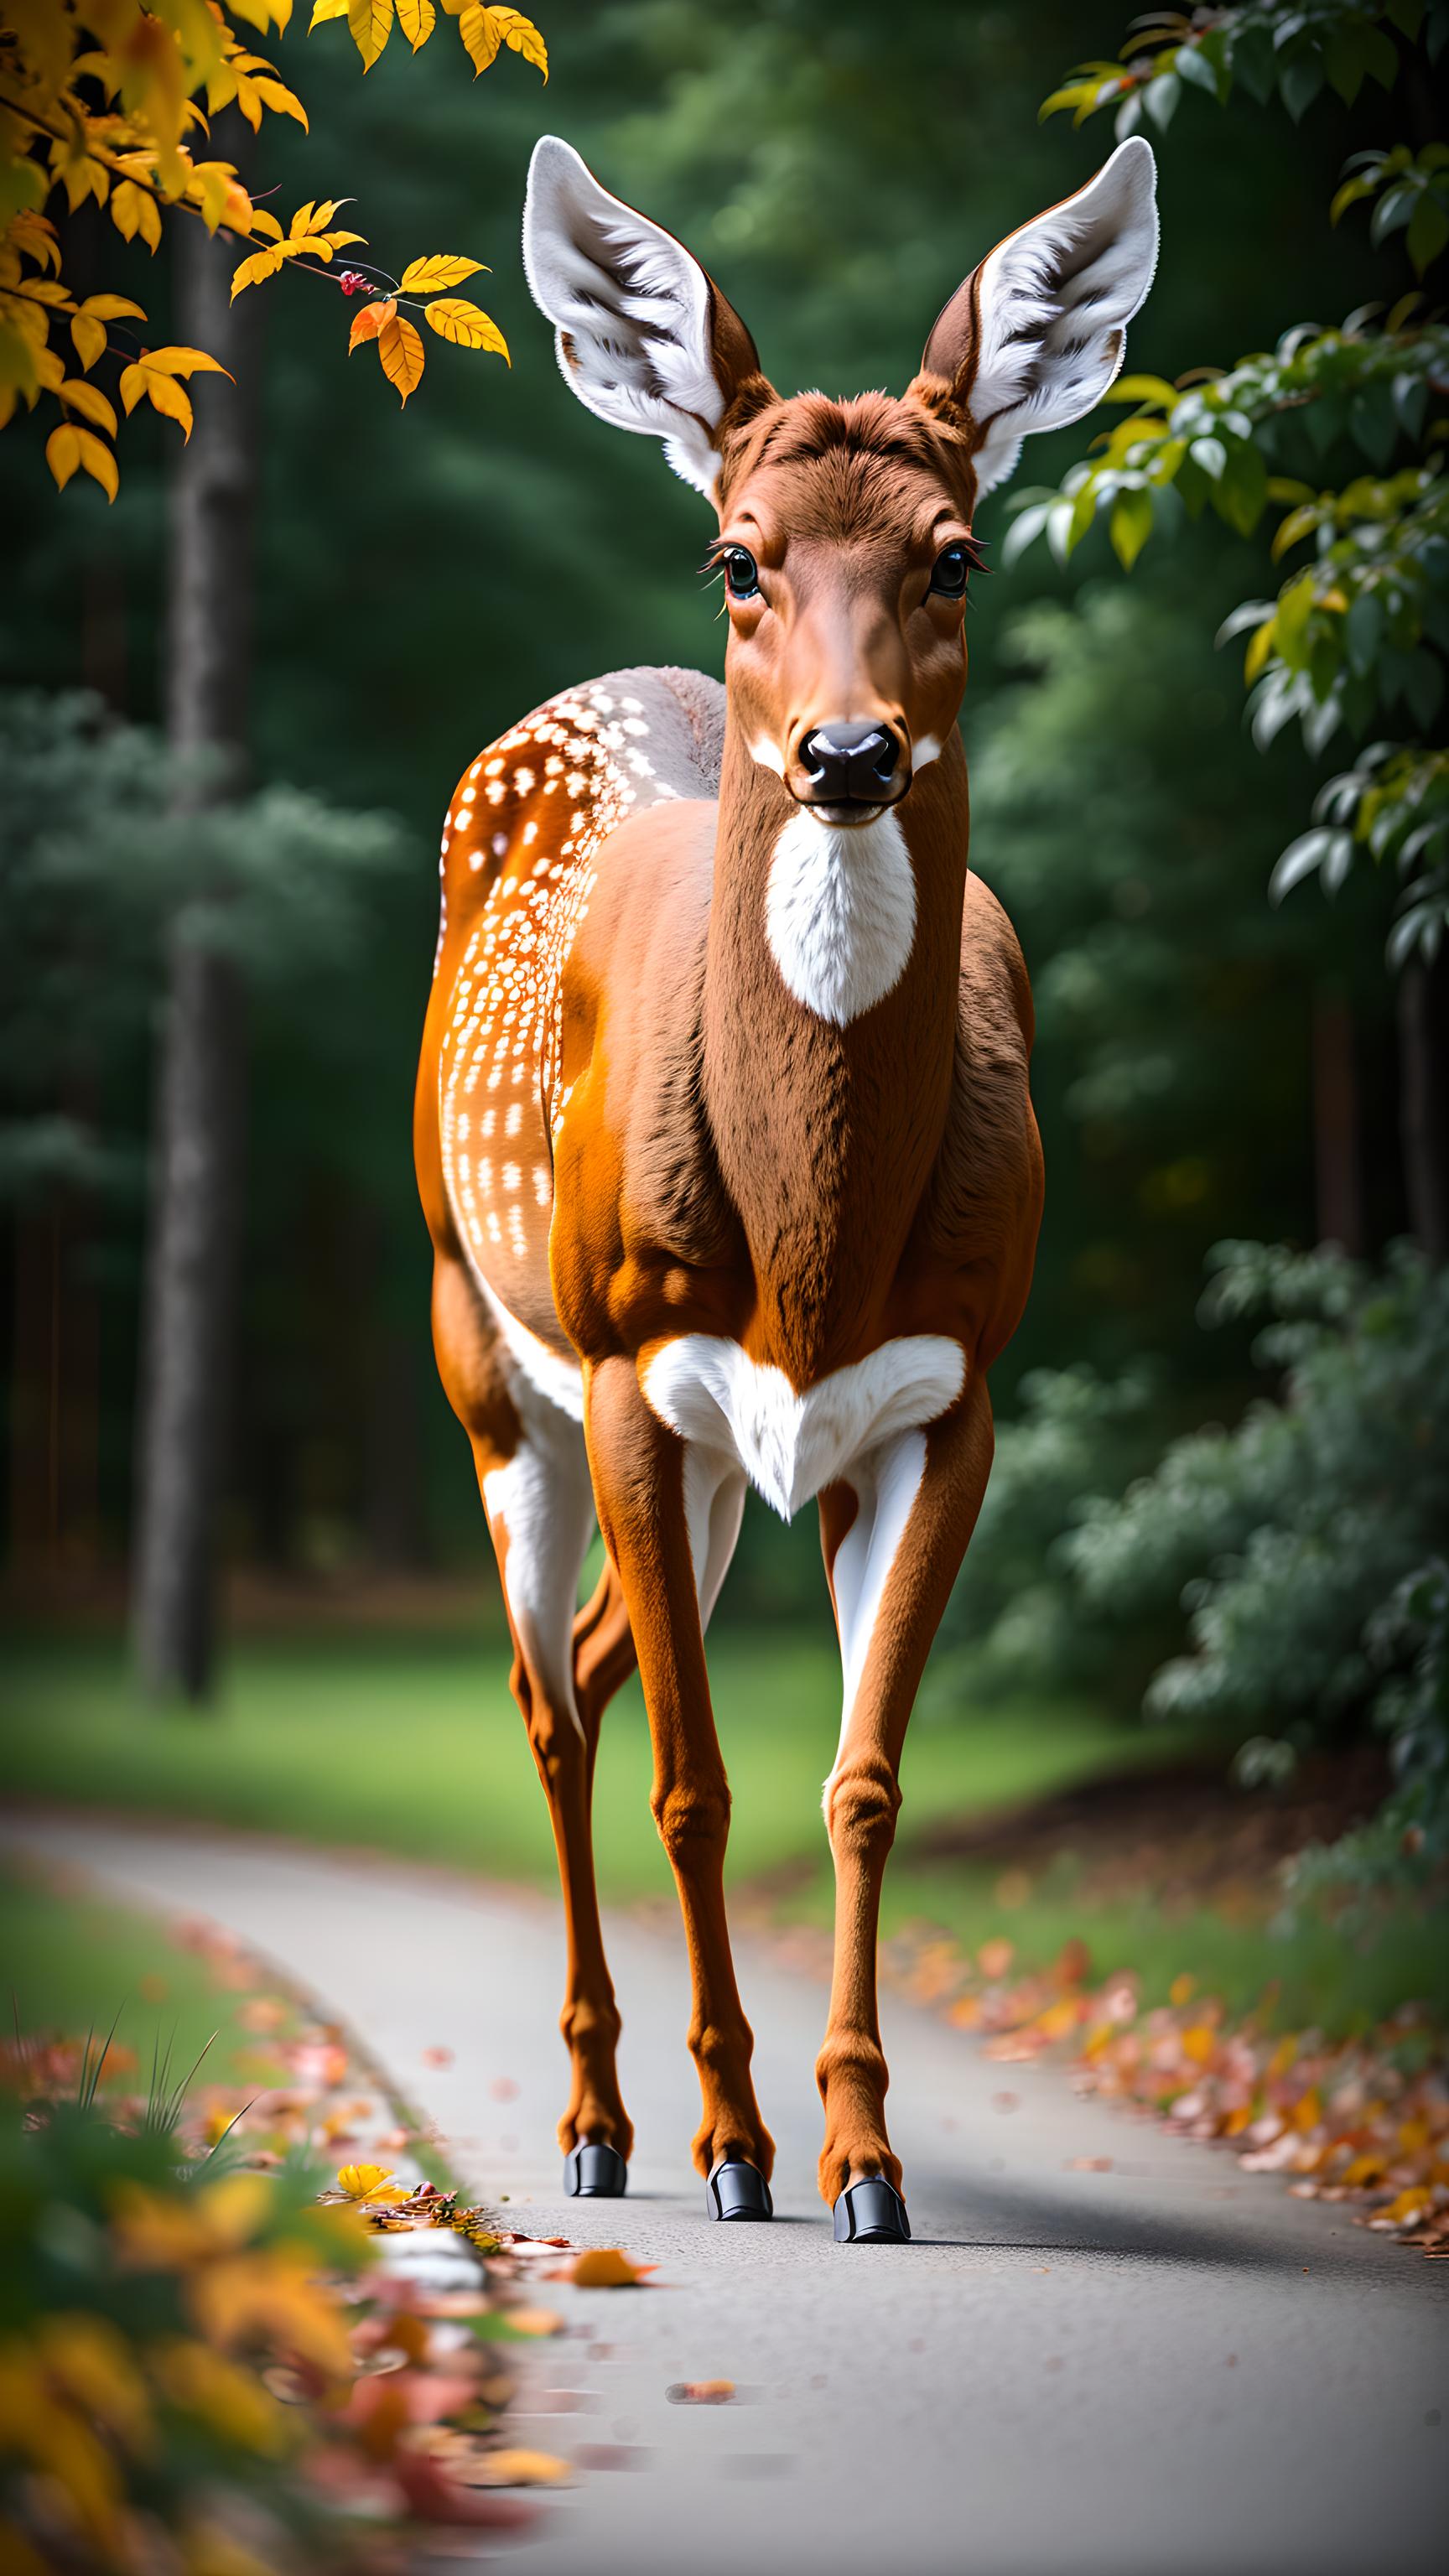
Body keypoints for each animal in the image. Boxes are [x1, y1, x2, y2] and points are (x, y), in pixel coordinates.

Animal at [415, 130, 1150, 2246]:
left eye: (955, 551)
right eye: (740, 551)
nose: (843, 752)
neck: (814, 1254)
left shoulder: (943, 1390)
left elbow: (857, 1779)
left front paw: (861, 2158)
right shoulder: (625, 1359)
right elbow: (697, 1782)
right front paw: (735, 2143)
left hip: (719, 1452)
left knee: (588, 1667)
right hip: (492, 1348)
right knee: (549, 1695)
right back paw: (599, 2117)